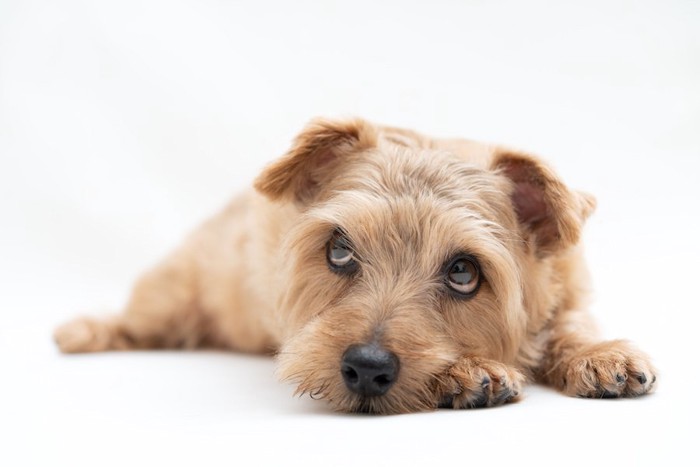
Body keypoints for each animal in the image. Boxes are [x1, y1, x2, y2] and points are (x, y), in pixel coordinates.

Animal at [53, 117, 656, 414]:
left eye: (464, 272)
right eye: (339, 249)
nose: (366, 367)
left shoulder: (570, 285)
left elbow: (571, 322)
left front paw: (599, 355)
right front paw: (471, 371)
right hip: (171, 295)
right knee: (137, 318)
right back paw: (83, 329)